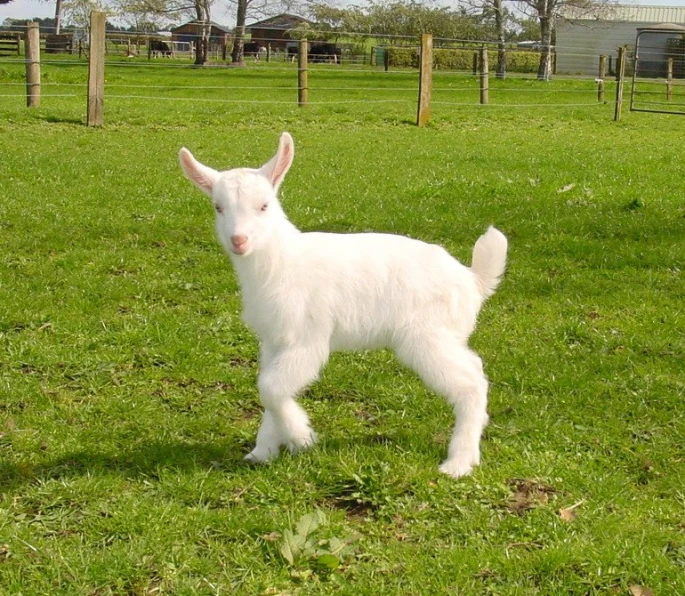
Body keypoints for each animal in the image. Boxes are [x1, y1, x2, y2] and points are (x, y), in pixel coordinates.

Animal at [178, 133, 508, 478]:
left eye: (264, 205)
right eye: (218, 207)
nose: (238, 240)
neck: (280, 262)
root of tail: (473, 280)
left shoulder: (308, 338)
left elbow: (271, 386)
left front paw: (302, 437)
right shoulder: (273, 340)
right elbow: (268, 388)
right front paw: (262, 452)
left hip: (427, 334)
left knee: (470, 383)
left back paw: (458, 463)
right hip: (443, 335)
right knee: (475, 368)